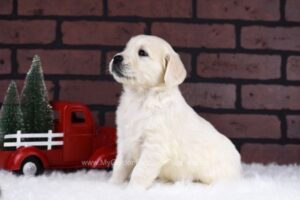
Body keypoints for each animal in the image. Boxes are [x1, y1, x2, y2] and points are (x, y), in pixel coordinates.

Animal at [109, 34, 240, 189]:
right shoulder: (125, 140)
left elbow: (139, 172)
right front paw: (111, 185)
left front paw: (132, 190)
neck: (140, 98)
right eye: (125, 48)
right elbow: (119, 166)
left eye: (142, 53)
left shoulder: (154, 146)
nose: (116, 57)